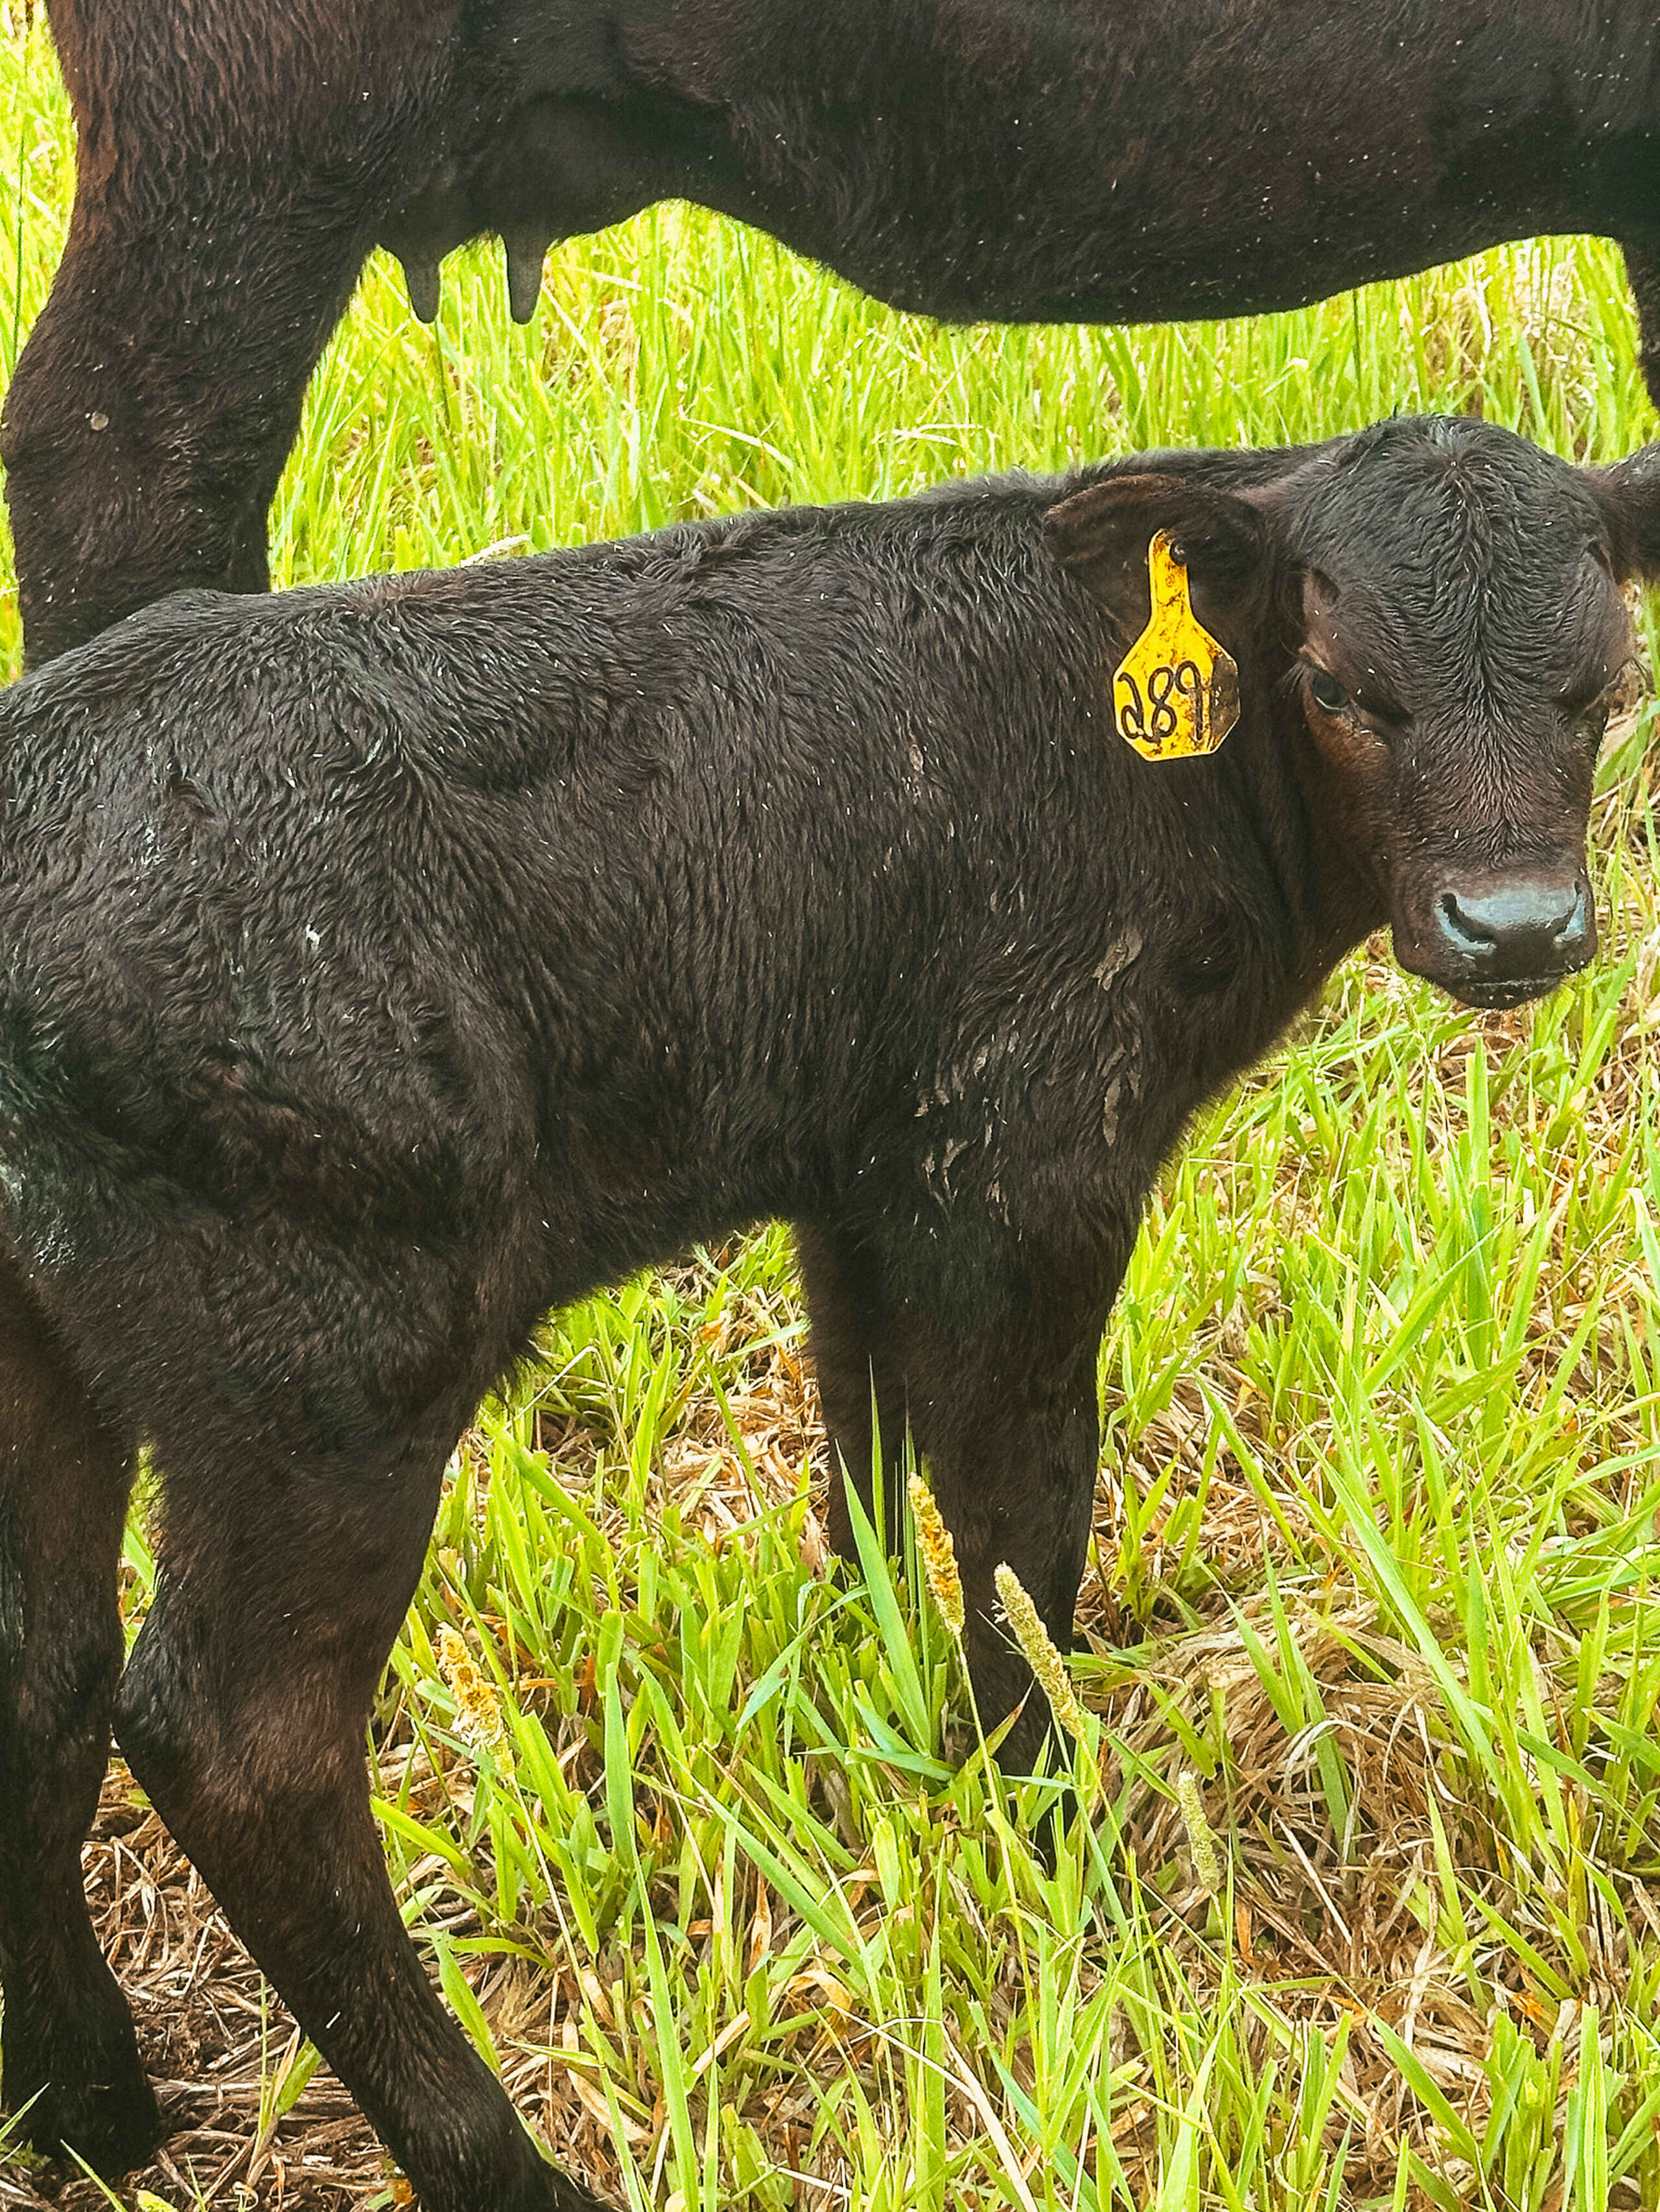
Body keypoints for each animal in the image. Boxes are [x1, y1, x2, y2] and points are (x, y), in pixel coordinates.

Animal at [0, 414, 1652, 2212]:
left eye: (1600, 687)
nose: (1513, 927)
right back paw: (497, 2167)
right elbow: (1016, 1516)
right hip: (327, 1367)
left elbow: (860, 1434)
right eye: (1340, 685)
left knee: (40, 1666)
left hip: (61, 1355)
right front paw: (1041, 1830)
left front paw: (869, 1689)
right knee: (241, 1738)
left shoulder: (856, 1160)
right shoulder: (1022, 1156)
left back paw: (82, 2108)